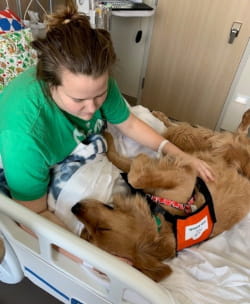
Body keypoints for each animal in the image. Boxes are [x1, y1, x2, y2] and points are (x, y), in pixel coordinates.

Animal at [71, 109, 250, 282]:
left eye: (103, 228)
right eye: (88, 235)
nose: (75, 207)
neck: (164, 217)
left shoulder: (187, 178)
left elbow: (134, 175)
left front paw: (116, 142)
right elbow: (122, 164)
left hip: (195, 139)